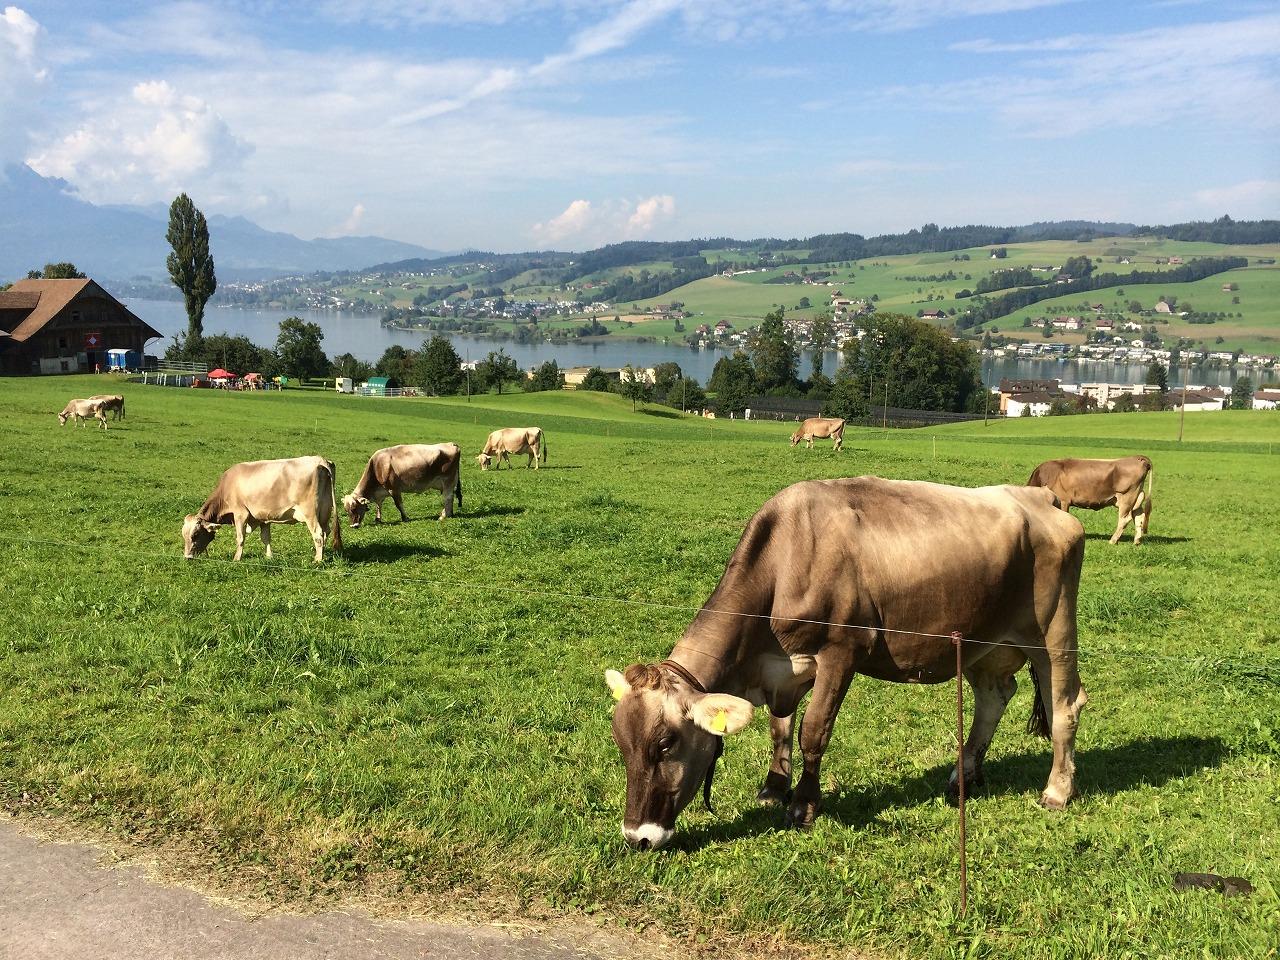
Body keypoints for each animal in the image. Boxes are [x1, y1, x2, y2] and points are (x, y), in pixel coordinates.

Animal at [182, 456, 342, 562]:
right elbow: (266, 538)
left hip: (310, 513)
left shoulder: (240, 513)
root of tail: (321, 460)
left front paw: (236, 558)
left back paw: (318, 560)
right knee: (326, 532)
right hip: (325, 511)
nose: (187, 557)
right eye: (184, 535)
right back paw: (322, 553)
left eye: (195, 535)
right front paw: (269, 556)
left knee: (318, 534)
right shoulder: (263, 518)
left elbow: (240, 538)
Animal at [605, 477, 1086, 851]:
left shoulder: (841, 652)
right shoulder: (783, 669)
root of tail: (1040, 495)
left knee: (1066, 704)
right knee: (993, 696)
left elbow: (812, 731)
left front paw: (803, 806)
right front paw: (773, 789)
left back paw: (1057, 791)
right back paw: (962, 775)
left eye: (665, 744)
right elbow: (779, 727)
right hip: (983, 642)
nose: (637, 837)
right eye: (621, 744)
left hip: (1054, 630)